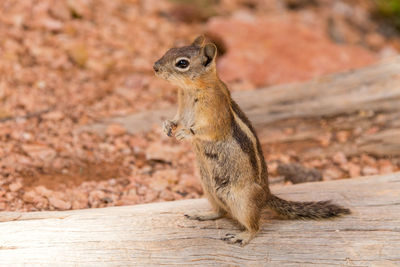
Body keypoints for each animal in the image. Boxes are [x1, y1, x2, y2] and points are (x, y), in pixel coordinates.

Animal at [153, 35, 350, 247]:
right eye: (170, 49)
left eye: (182, 63)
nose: (155, 67)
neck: (190, 90)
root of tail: (266, 195)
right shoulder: (182, 110)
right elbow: (177, 119)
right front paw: (167, 125)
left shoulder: (216, 114)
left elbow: (208, 130)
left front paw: (185, 133)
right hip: (209, 190)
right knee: (220, 211)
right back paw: (202, 214)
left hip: (242, 201)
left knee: (255, 226)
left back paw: (242, 236)